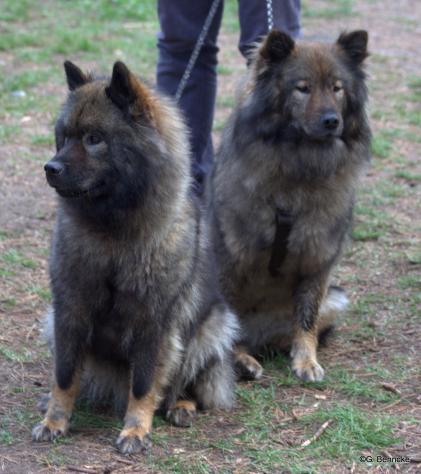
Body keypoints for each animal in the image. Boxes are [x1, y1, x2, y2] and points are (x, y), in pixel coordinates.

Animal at [31, 61, 238, 454]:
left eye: (94, 139)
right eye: (63, 137)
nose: (50, 168)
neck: (114, 234)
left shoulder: (153, 323)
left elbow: (143, 384)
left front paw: (136, 429)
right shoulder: (68, 311)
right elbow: (64, 376)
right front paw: (54, 420)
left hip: (209, 330)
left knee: (183, 382)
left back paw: (181, 405)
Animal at [208, 29, 370, 384]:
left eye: (337, 88)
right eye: (303, 87)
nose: (331, 121)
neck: (299, 165)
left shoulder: (318, 261)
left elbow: (306, 317)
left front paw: (306, 360)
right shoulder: (230, 258)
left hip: (337, 297)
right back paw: (242, 359)